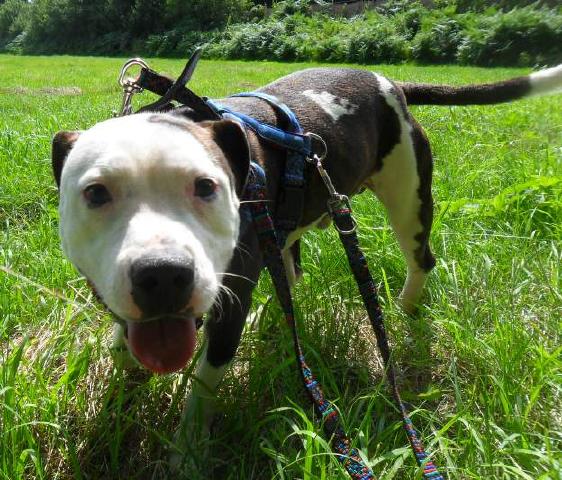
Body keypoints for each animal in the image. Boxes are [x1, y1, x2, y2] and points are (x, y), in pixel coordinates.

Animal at [50, 62, 556, 460]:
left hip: (409, 199)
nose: (164, 275)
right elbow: (123, 350)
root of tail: (389, 82)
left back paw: (406, 308)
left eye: (206, 186)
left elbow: (203, 387)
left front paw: (188, 451)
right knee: (290, 273)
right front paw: (112, 406)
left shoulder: (228, 309)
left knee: (421, 259)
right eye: (96, 194)